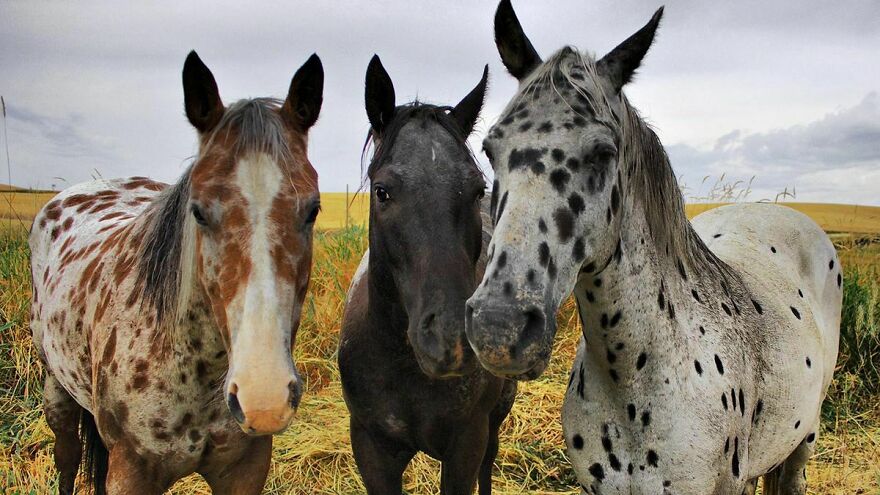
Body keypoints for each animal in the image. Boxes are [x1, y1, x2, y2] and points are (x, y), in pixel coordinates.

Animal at [28, 51, 324, 494]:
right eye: (197, 211)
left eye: (312, 210)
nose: (264, 398)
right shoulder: (129, 473)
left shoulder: (246, 469)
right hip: (56, 389)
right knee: (66, 459)